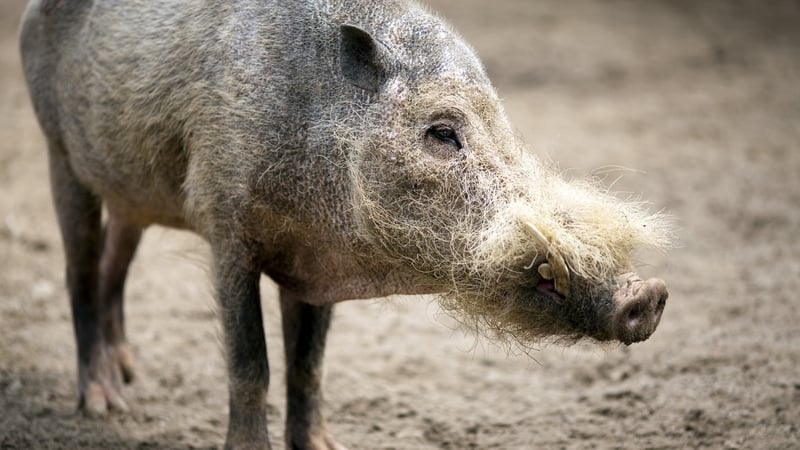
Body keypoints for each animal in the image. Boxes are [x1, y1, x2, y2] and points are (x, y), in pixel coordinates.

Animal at [19, 0, 672, 448]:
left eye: (506, 130)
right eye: (442, 132)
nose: (649, 294)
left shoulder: (317, 265)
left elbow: (309, 363)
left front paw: (327, 446)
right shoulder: (225, 226)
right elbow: (251, 362)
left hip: (129, 192)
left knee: (115, 260)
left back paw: (131, 374)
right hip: (59, 153)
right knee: (79, 273)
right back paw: (106, 406)